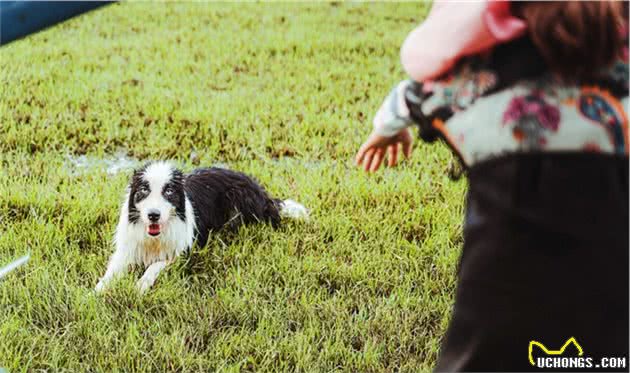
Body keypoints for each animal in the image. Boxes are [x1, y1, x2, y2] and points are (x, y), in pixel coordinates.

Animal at [95, 161, 308, 292]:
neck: (154, 238)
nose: (153, 215)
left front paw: (141, 285)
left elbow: (155, 265)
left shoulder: (181, 251)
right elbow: (112, 270)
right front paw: (97, 291)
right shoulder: (128, 248)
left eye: (168, 191)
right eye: (144, 190)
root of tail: (263, 194)